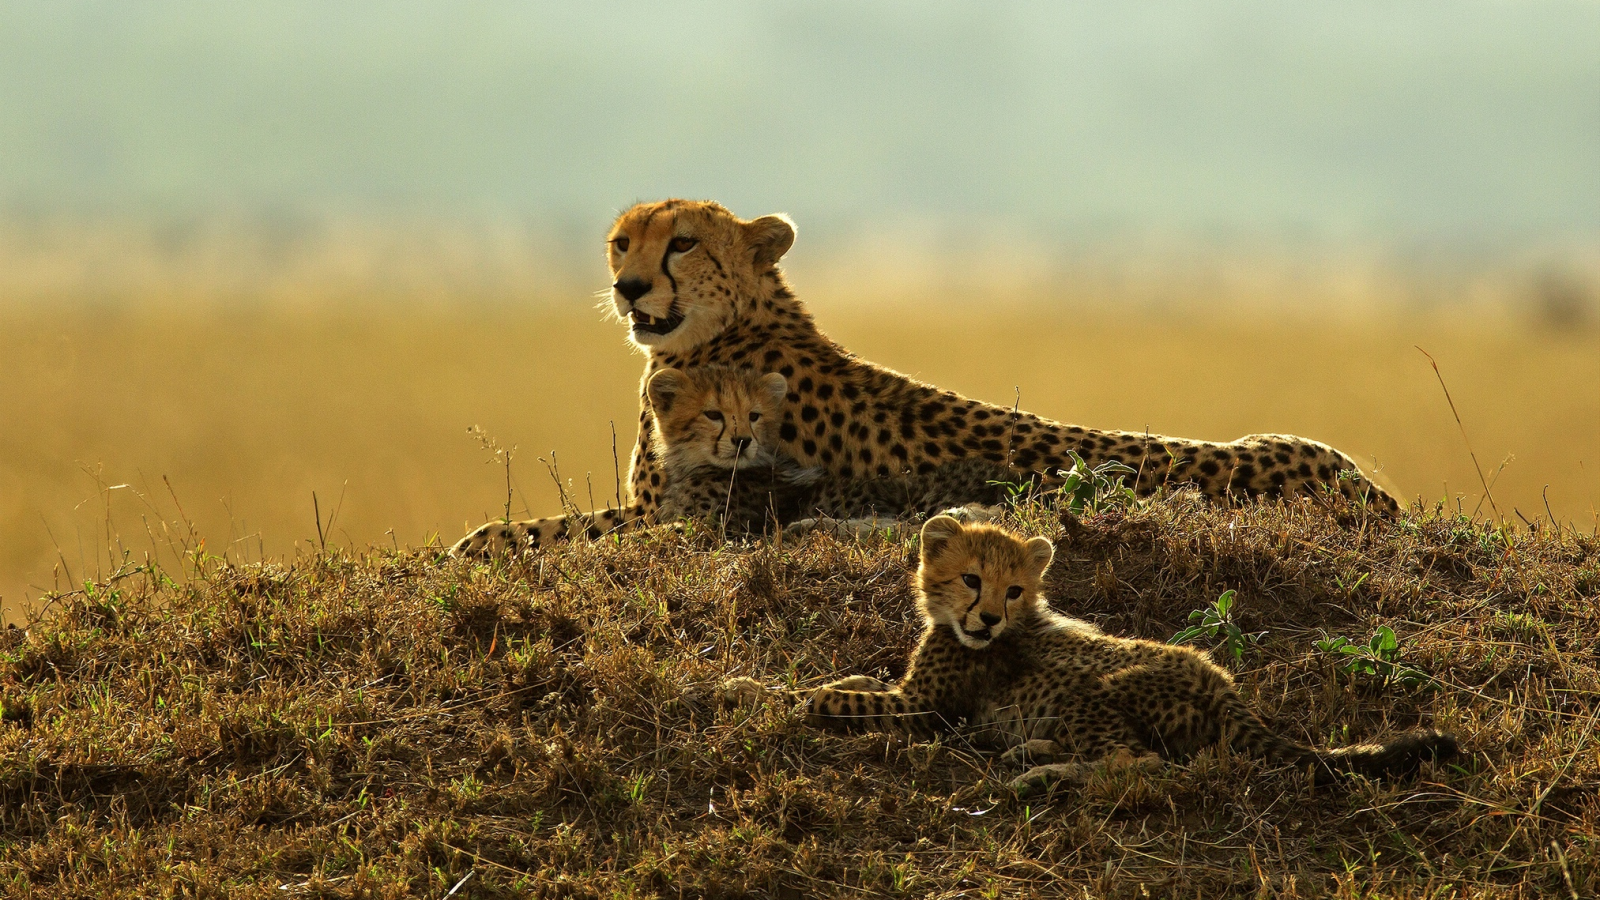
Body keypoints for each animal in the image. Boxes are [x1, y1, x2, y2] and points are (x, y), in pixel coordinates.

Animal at [448, 200, 1388, 557]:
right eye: (621, 242)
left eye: (681, 243)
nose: (630, 287)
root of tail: (1369, 489)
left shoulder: (680, 515)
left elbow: (542, 531)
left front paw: (474, 543)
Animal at [726, 512, 1452, 791]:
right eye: (972, 579)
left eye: (1014, 590)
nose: (989, 619)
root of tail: (1223, 683)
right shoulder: (912, 690)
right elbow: (857, 678)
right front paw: (762, 685)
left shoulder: (925, 709)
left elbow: (836, 699)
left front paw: (761, 693)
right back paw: (1031, 751)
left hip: (1096, 686)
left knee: (1141, 765)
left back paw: (1040, 774)